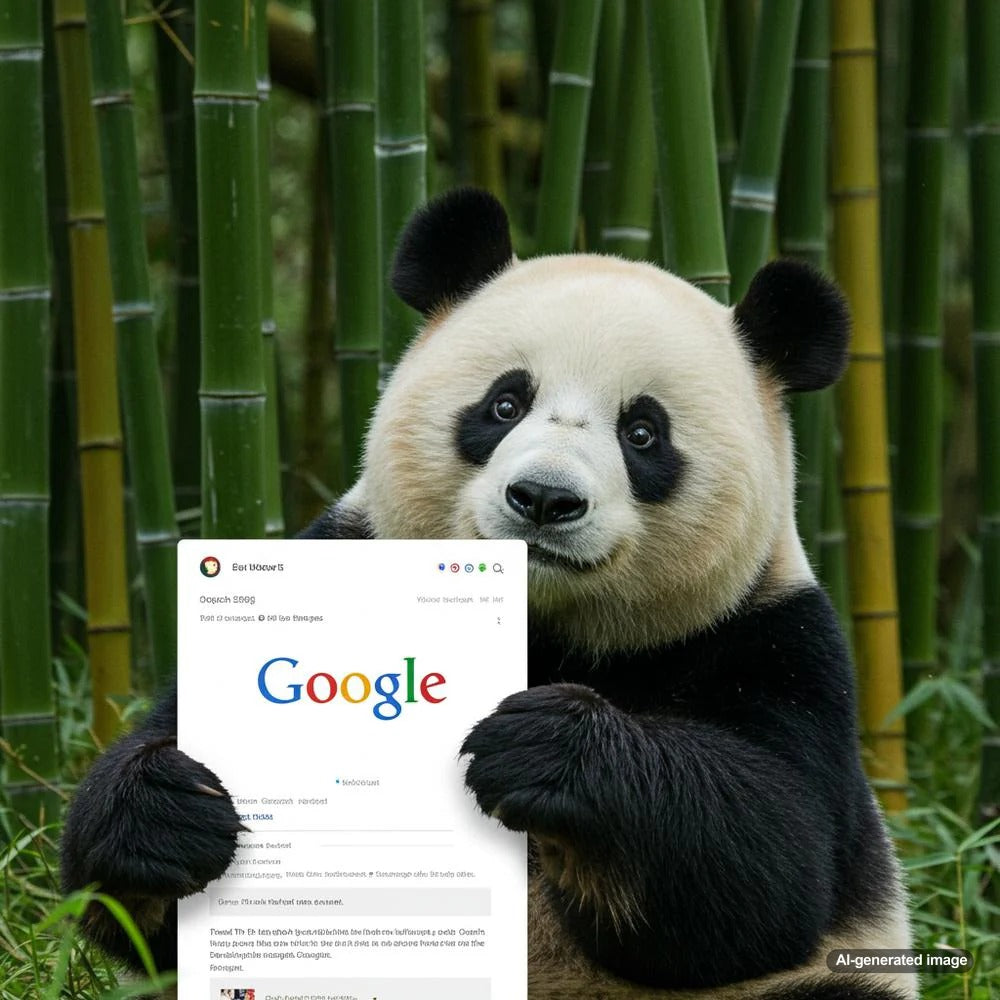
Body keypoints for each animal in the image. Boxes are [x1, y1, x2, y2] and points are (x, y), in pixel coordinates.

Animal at [61, 188, 915, 1000]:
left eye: (643, 432)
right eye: (505, 404)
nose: (544, 498)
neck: (545, 626)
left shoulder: (770, 639)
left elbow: (772, 865)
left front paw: (546, 747)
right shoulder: (344, 551)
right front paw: (171, 812)